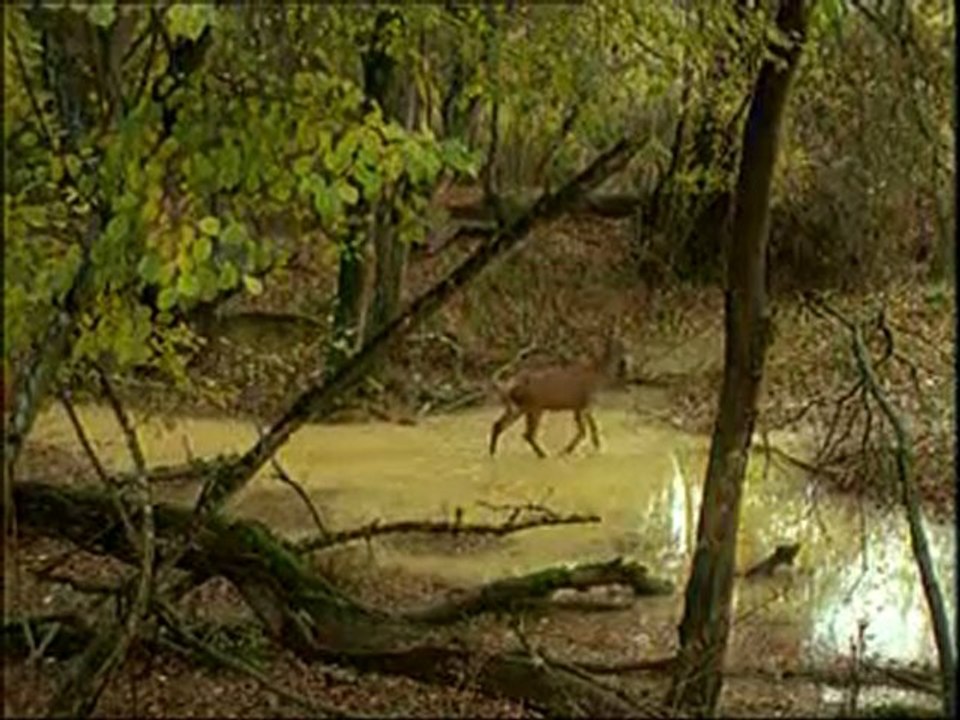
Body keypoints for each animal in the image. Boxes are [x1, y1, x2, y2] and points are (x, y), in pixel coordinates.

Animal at [488, 331, 628, 458]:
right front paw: (567, 451)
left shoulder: (581, 406)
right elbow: (586, 430)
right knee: (527, 434)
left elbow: (588, 429)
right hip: (534, 407)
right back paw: (543, 454)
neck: (599, 375)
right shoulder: (584, 404)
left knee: (498, 425)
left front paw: (595, 447)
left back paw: (493, 453)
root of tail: (507, 387)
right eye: (619, 345)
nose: (625, 361)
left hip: (518, 407)